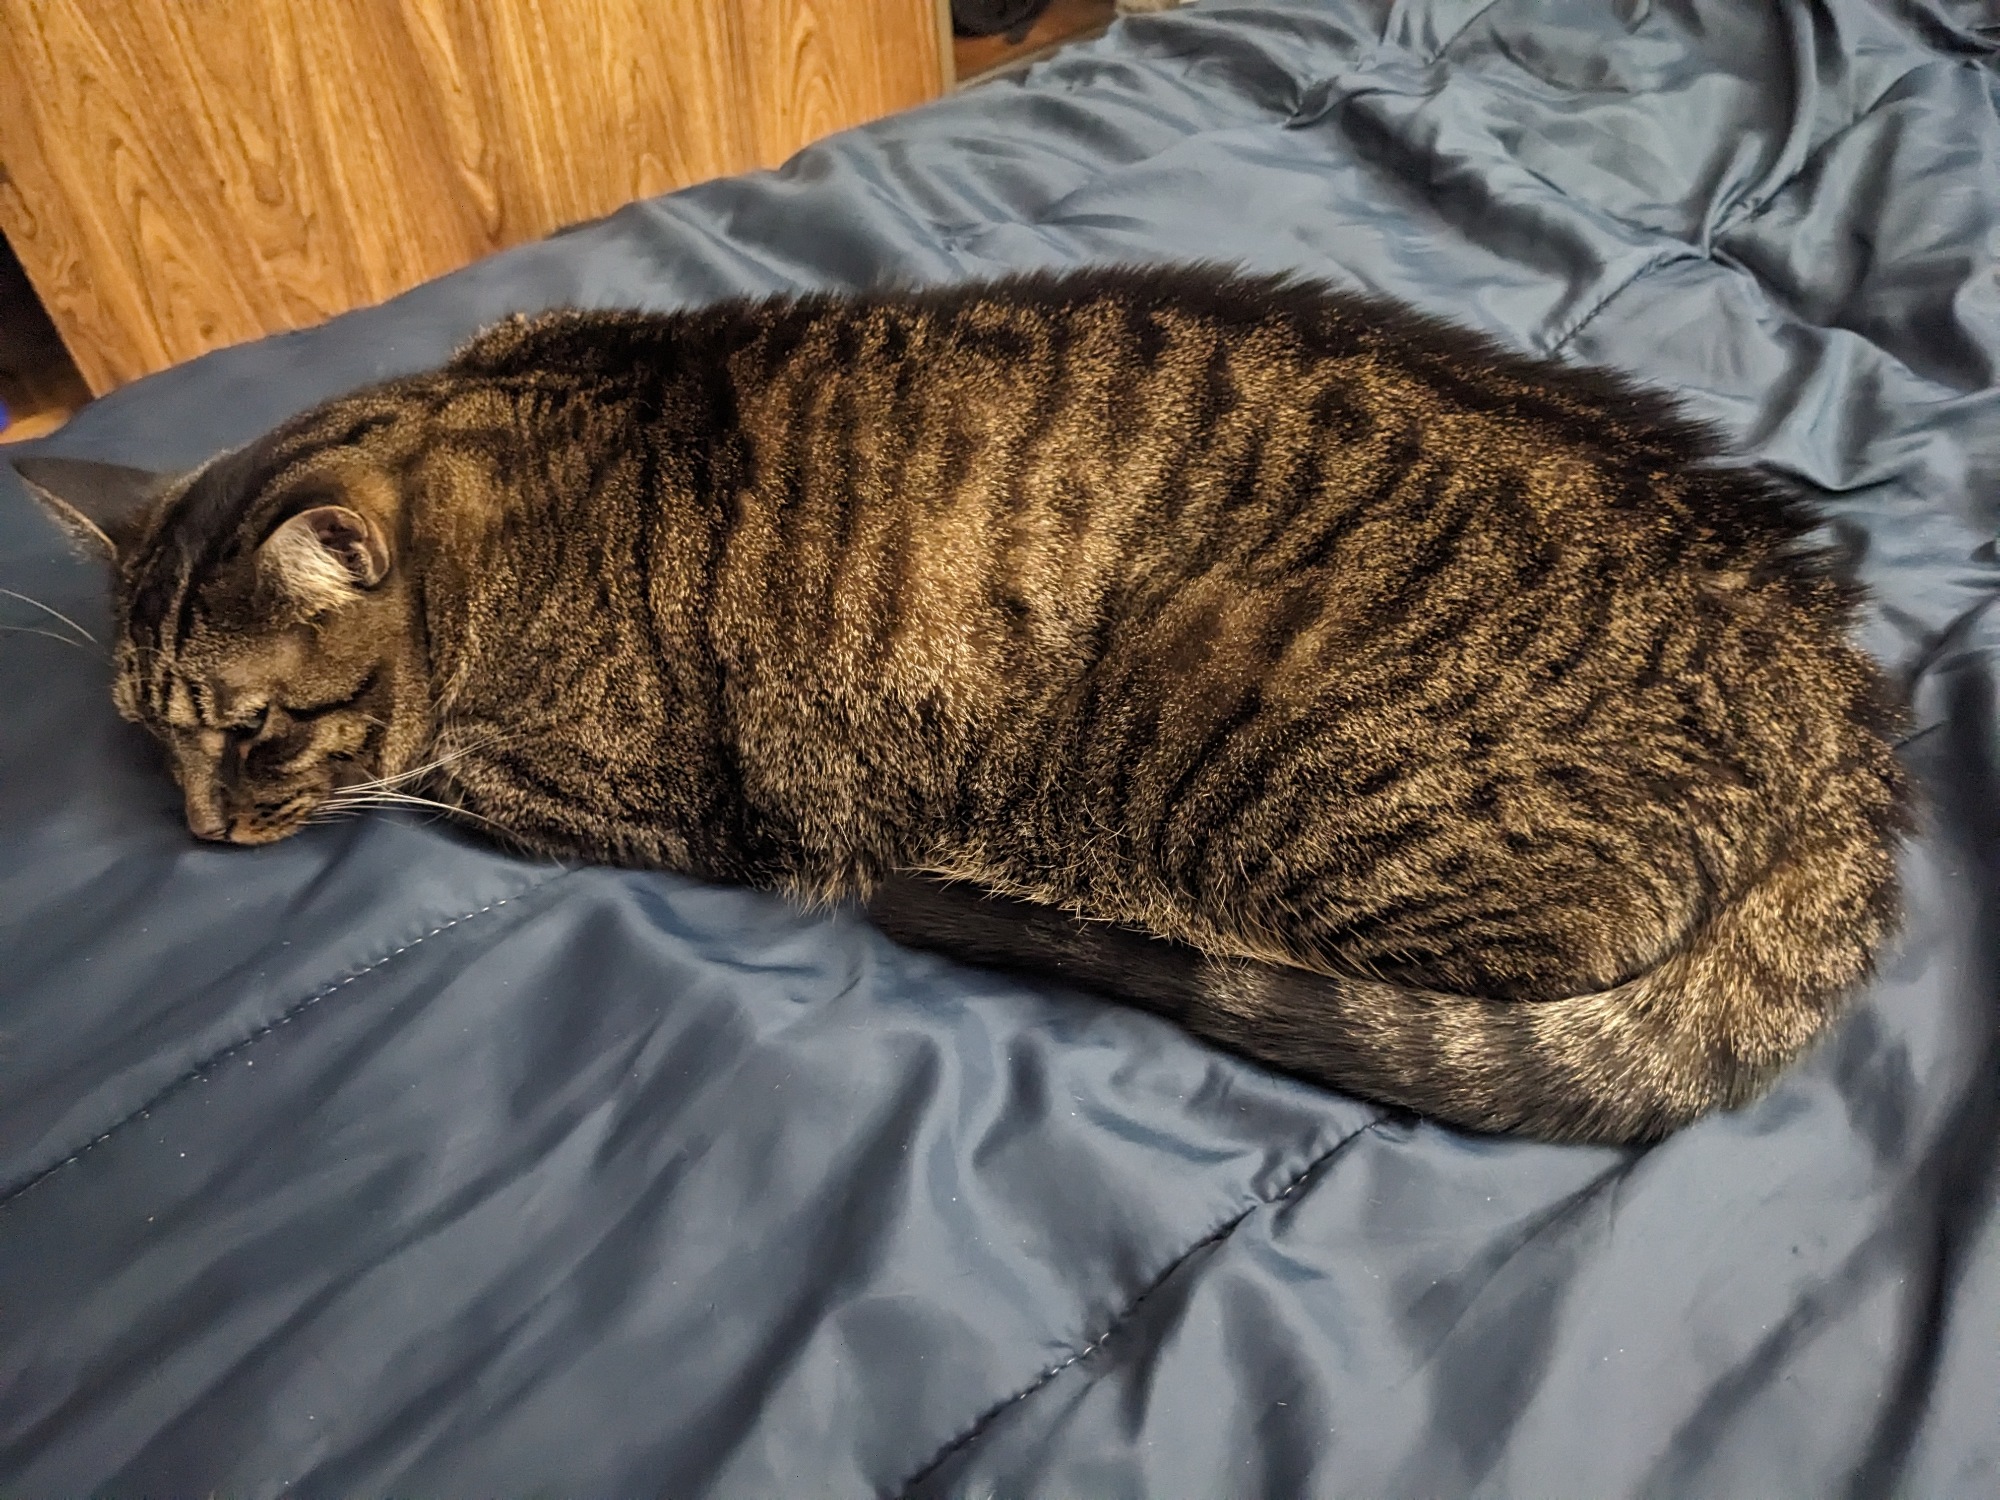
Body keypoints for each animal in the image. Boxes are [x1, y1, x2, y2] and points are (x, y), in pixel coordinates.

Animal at [14, 266, 1910, 1144]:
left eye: (250, 731)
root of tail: (1836, 693)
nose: (199, 832)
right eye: (148, 736)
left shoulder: (627, 796)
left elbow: (445, 781)